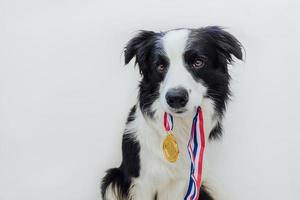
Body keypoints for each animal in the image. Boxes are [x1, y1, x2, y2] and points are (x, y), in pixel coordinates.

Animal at [102, 27, 243, 200]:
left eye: (198, 62)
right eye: (160, 66)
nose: (176, 98)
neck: (180, 125)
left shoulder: (185, 181)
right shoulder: (142, 181)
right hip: (111, 179)